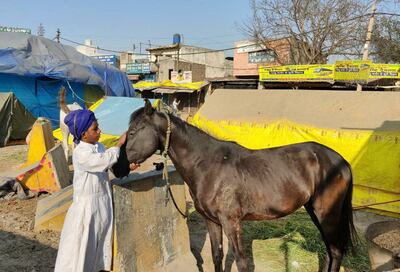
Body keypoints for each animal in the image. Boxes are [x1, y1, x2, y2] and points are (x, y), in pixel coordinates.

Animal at [112, 100, 356, 272]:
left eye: (133, 132)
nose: (117, 167)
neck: (209, 165)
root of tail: (340, 160)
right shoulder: (212, 221)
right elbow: (217, 256)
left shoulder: (231, 222)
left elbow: (241, 261)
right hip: (315, 212)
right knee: (330, 250)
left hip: (327, 214)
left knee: (335, 250)